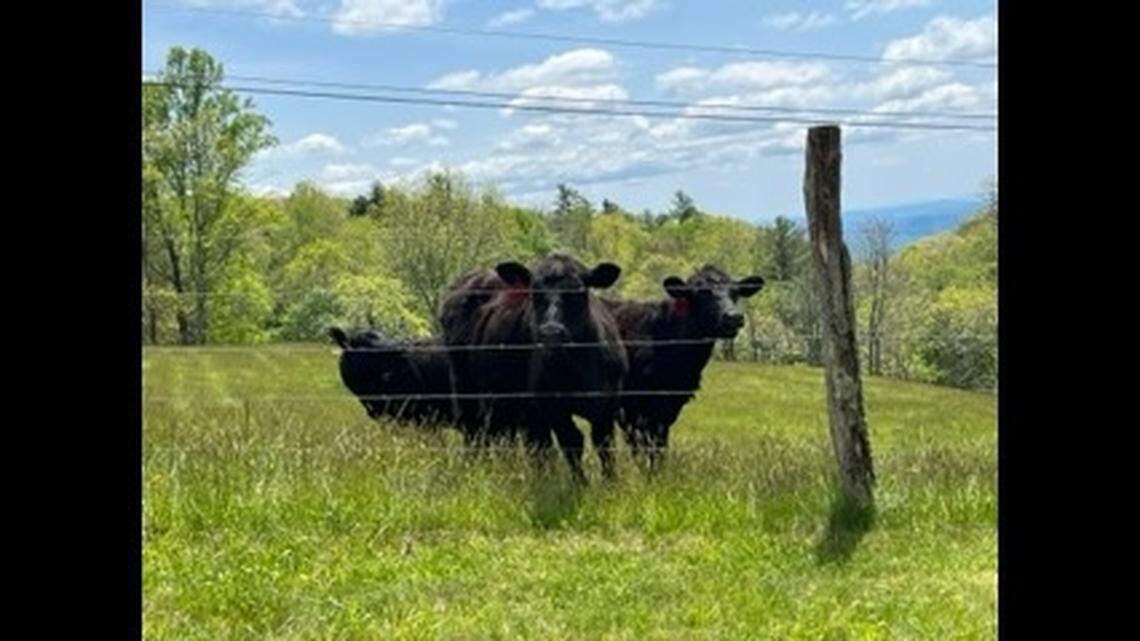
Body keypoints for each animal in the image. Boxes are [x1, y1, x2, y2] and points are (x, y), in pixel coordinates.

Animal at [440, 253, 628, 482]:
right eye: (534, 294)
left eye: (577, 292)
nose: (551, 332)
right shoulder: (552, 406)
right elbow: (572, 441)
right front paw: (580, 483)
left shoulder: (607, 403)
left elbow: (604, 444)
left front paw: (611, 482)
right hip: (468, 392)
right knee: (477, 434)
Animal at [601, 265, 765, 472]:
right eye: (702, 293)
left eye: (735, 293)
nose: (733, 317)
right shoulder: (631, 408)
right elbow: (640, 447)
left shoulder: (668, 407)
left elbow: (659, 447)